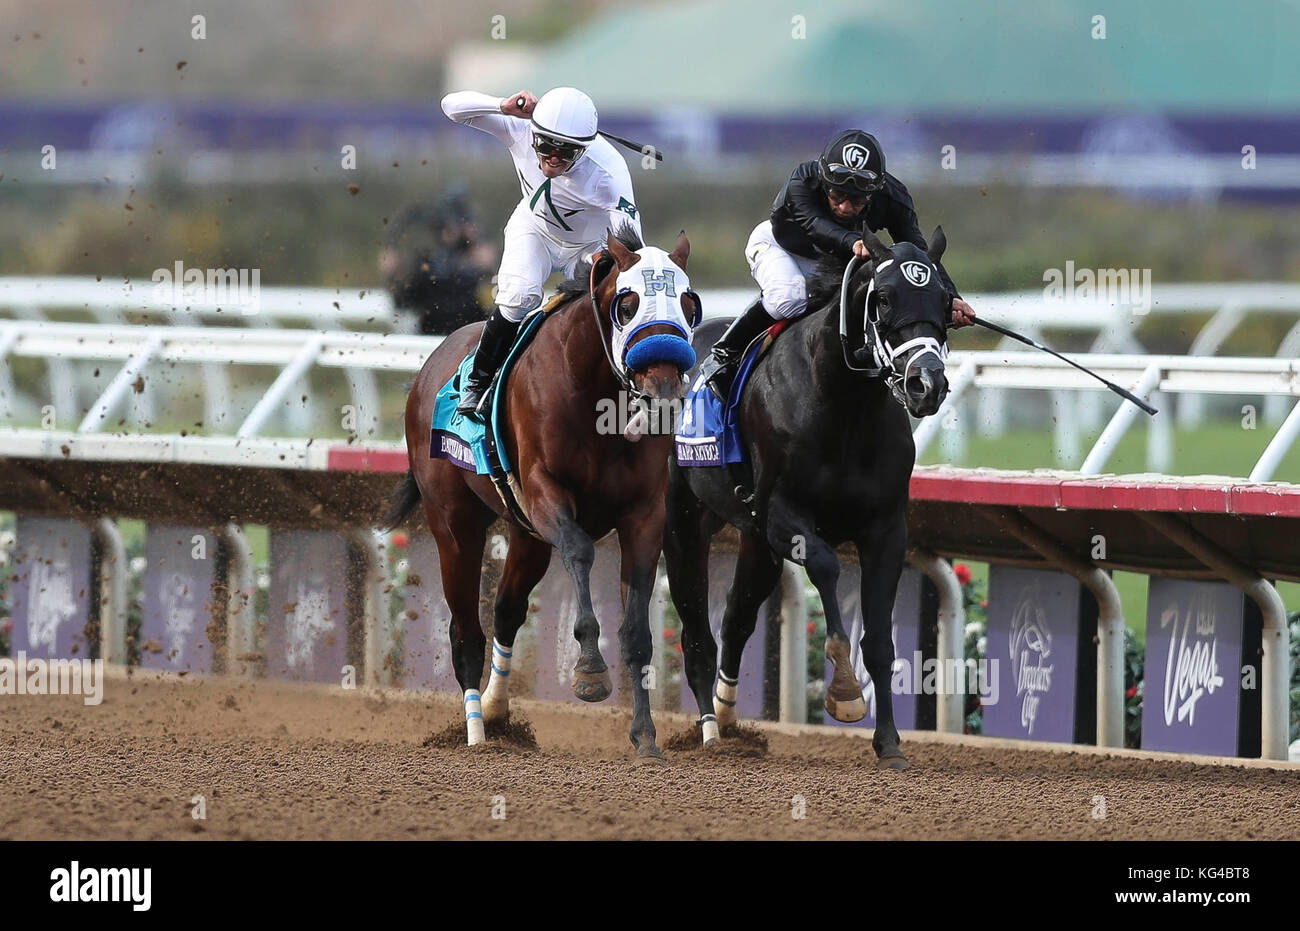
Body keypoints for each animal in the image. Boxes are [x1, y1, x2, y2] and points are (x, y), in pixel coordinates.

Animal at [384, 224, 702, 764]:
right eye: (628, 303)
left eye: (688, 302)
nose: (662, 385)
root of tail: (432, 365)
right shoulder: (544, 491)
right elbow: (578, 550)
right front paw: (590, 671)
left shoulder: (644, 514)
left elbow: (638, 631)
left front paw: (645, 737)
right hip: (454, 524)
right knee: (465, 631)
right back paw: (475, 734)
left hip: (526, 535)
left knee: (506, 611)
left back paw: (495, 712)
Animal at [665, 224, 951, 769]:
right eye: (884, 298)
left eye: (947, 299)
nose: (926, 384)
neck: (842, 402)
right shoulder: (782, 515)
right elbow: (824, 565)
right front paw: (844, 691)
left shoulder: (886, 529)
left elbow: (879, 641)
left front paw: (889, 743)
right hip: (683, 519)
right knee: (695, 630)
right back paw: (709, 731)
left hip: (753, 541)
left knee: (736, 617)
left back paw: (727, 717)